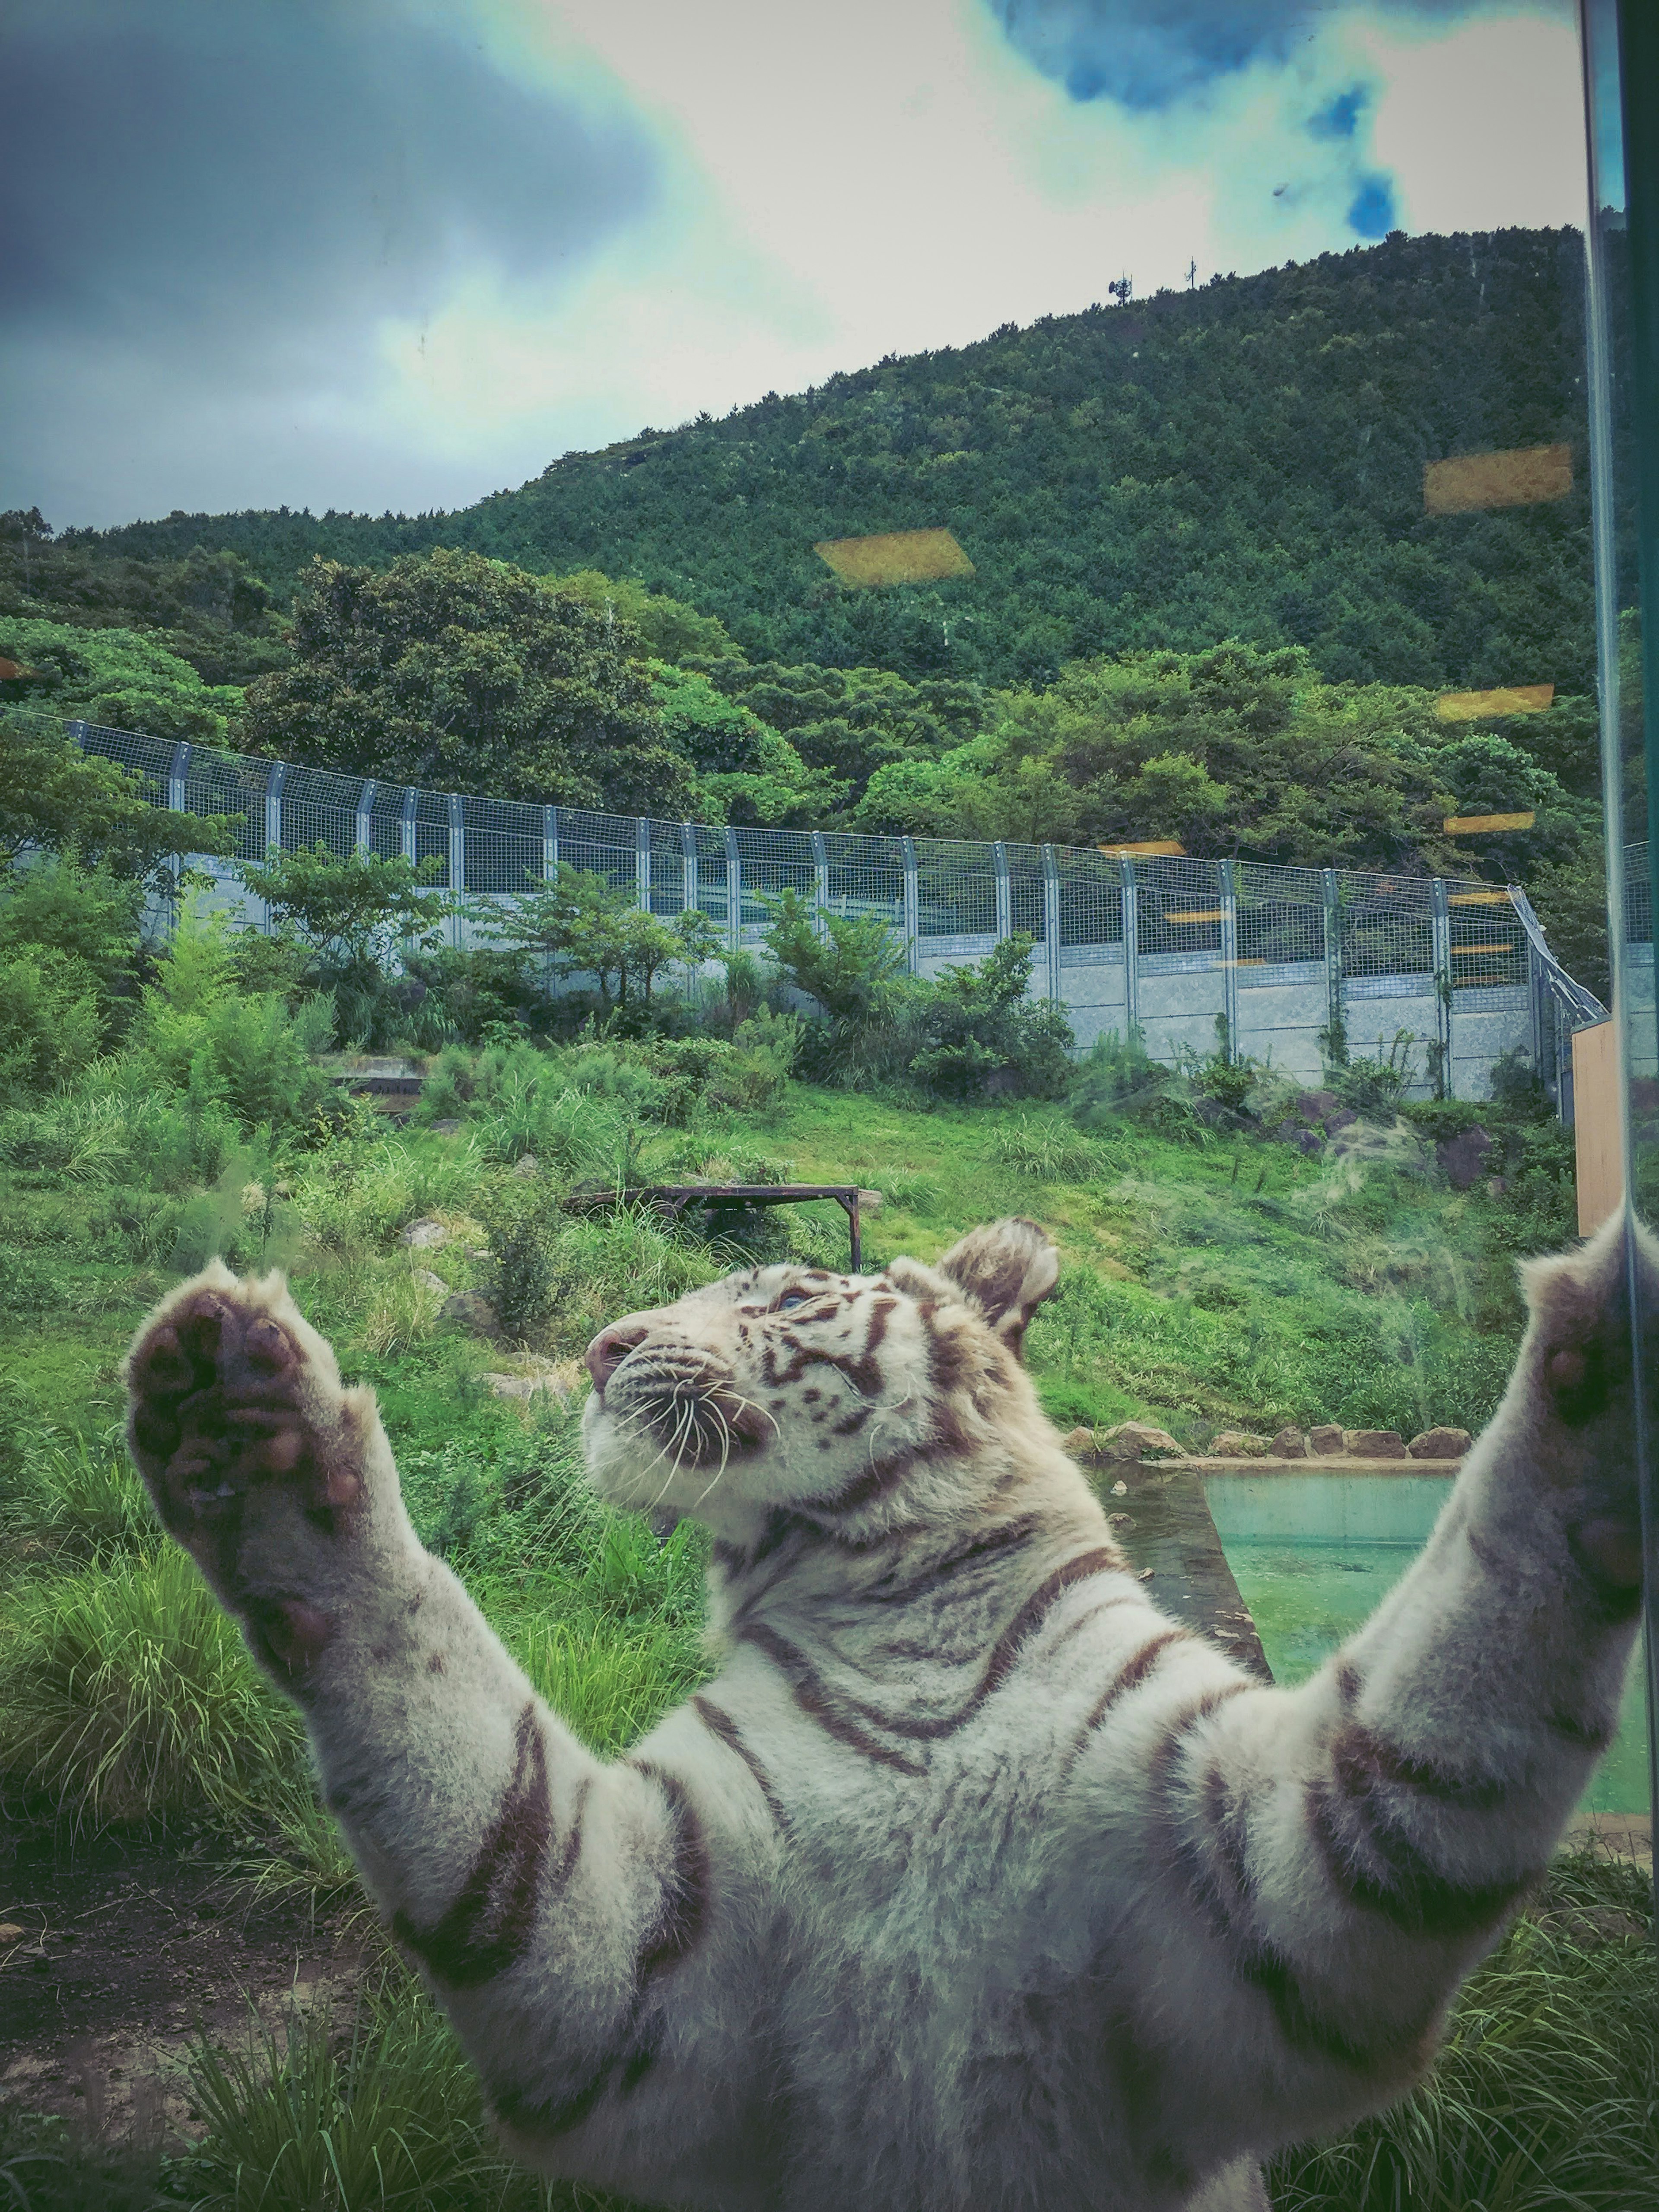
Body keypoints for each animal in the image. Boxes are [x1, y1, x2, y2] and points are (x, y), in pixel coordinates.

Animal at [123, 1221, 1654, 2203]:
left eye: (782, 1292)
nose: (602, 1344)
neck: (892, 1609)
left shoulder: (1280, 1858)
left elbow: (1483, 1600)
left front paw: (1614, 1329)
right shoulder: (625, 1944)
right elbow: (449, 1717)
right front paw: (246, 1423)